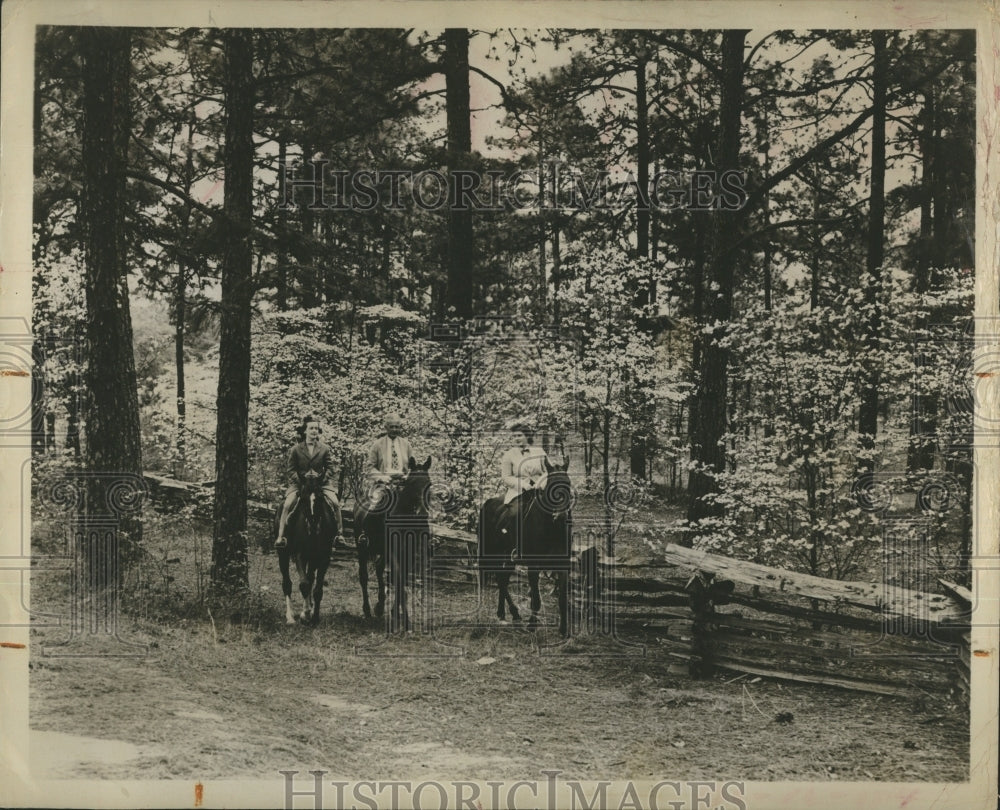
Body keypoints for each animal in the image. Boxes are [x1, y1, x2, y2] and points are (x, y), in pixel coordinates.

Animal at [276, 470, 338, 620]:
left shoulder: (323, 558)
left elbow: (317, 589)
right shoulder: (300, 555)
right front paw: (305, 614)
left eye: (320, 497)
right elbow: (304, 585)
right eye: (302, 498)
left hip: (312, 558)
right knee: (287, 583)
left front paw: (314, 616)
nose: (313, 522)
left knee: (310, 578)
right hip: (283, 554)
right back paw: (290, 616)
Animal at [356, 454, 434, 632]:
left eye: (429, 484)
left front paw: (398, 615)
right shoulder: (394, 553)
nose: (422, 514)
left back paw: (379, 606)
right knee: (364, 577)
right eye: (412, 483)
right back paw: (367, 610)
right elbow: (398, 579)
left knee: (379, 569)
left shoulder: (409, 554)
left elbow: (402, 580)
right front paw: (404, 618)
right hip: (362, 549)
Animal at [478, 458, 576, 636]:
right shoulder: (533, 566)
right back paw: (514, 614)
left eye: (568, 483)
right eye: (549, 485)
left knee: (503, 580)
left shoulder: (563, 566)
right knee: (501, 580)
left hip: (508, 558)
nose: (560, 516)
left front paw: (564, 630)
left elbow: (562, 598)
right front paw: (532, 625)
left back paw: (504, 613)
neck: (551, 529)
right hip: (493, 553)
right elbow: (536, 599)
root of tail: (487, 503)